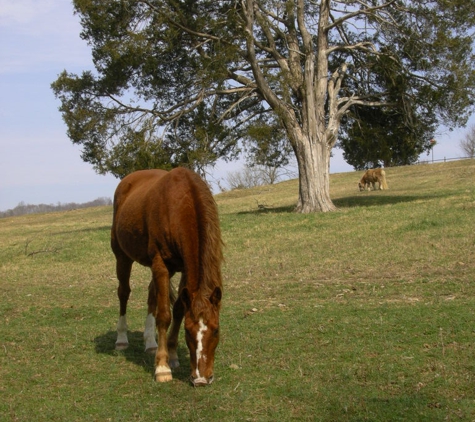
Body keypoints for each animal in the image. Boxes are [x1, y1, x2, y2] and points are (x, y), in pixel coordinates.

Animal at [110, 167, 224, 386]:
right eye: (188, 331)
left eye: (216, 330)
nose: (201, 379)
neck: (180, 205)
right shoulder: (161, 265)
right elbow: (164, 315)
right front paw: (162, 367)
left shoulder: (184, 268)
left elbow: (178, 309)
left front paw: (172, 355)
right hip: (122, 257)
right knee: (123, 293)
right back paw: (121, 339)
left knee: (151, 295)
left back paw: (150, 343)